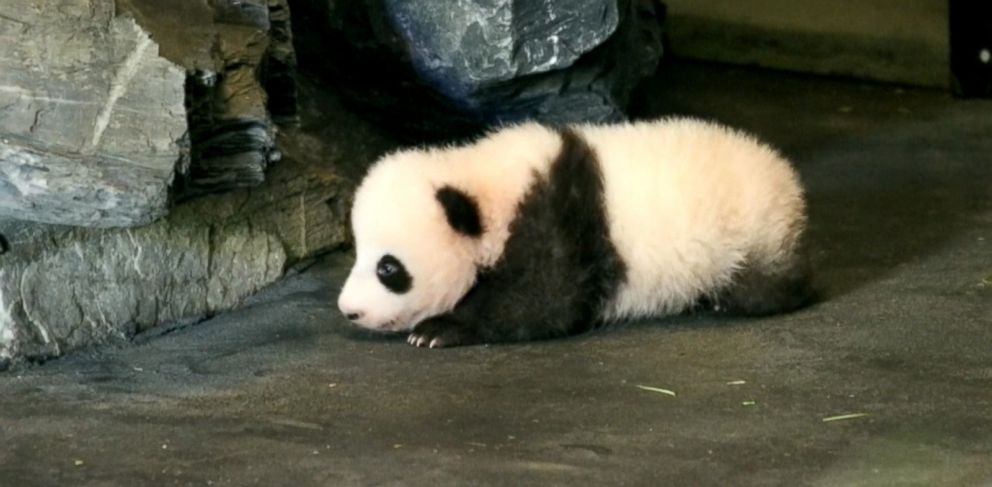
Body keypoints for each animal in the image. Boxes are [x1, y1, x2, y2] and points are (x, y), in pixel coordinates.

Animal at [338, 117, 808, 346]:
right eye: (357, 254)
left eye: (388, 269)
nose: (349, 311)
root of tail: (784, 173)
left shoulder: (555, 226)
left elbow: (542, 305)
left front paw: (437, 331)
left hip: (753, 230)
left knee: (765, 284)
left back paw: (734, 299)